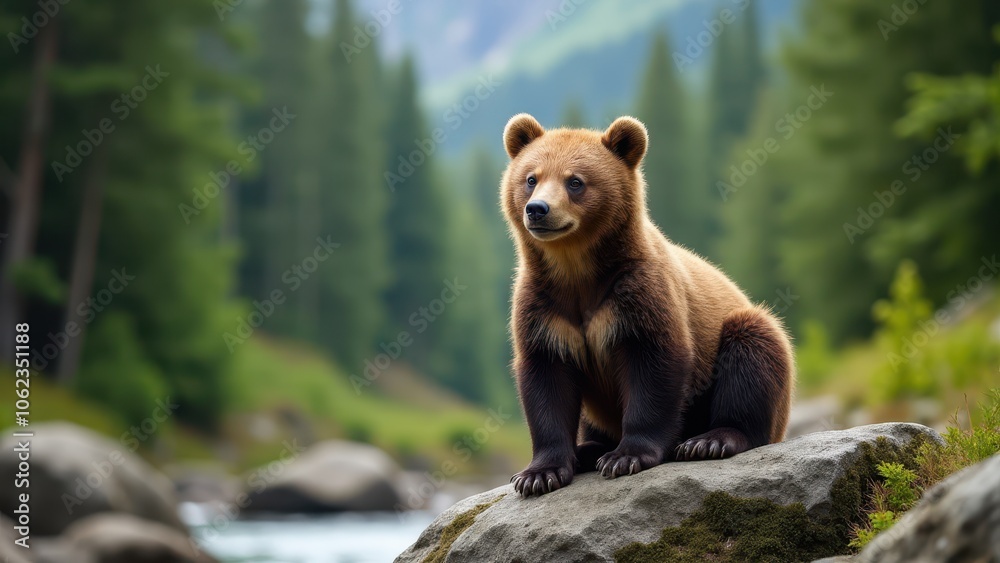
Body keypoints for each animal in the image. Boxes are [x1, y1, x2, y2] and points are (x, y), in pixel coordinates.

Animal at [501, 113, 795, 497]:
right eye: (531, 178)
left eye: (575, 181)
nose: (537, 209)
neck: (576, 272)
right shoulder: (545, 309)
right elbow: (546, 379)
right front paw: (538, 474)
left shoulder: (637, 295)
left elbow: (654, 364)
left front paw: (627, 457)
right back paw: (589, 448)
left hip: (744, 338)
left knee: (752, 348)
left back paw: (711, 440)